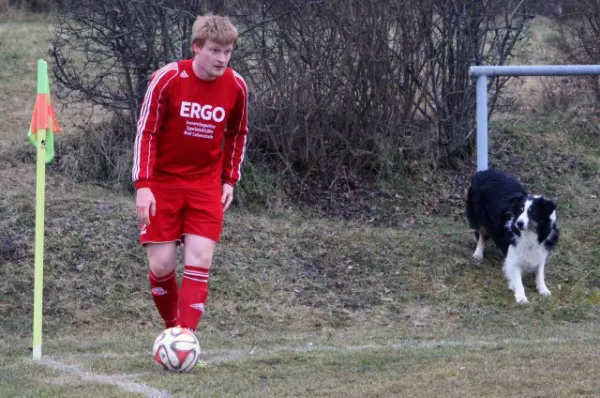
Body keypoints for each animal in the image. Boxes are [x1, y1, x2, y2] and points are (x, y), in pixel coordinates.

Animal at [466, 169, 560, 304]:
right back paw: (478, 254)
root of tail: (483, 172)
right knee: (482, 234)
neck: (531, 234)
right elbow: (517, 277)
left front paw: (543, 289)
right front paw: (520, 296)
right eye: (520, 210)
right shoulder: (514, 255)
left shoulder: (541, 252)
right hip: (480, 215)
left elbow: (540, 272)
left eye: (532, 213)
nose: (519, 223)